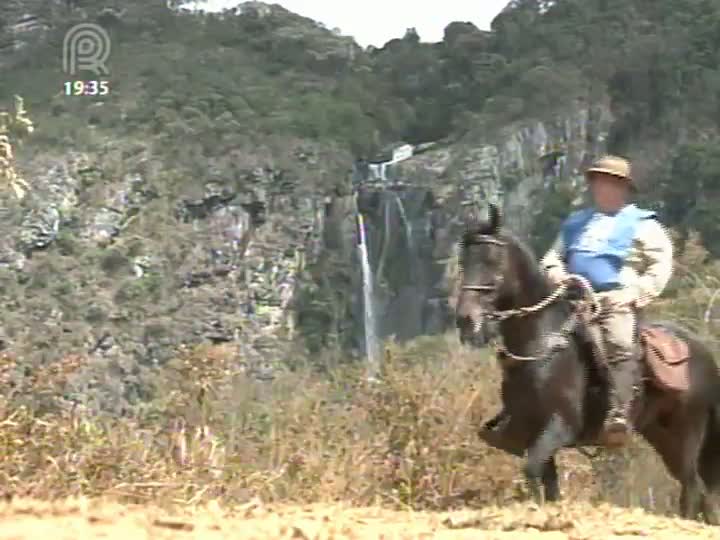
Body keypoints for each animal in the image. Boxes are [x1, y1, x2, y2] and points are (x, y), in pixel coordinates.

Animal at [456, 202, 720, 524]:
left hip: (686, 433)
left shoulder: (560, 426)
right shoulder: (533, 431)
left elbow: (531, 469)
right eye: (463, 260)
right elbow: (548, 484)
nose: (466, 319)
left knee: (693, 487)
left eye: (491, 259)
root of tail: (704, 353)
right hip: (661, 435)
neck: (542, 341)